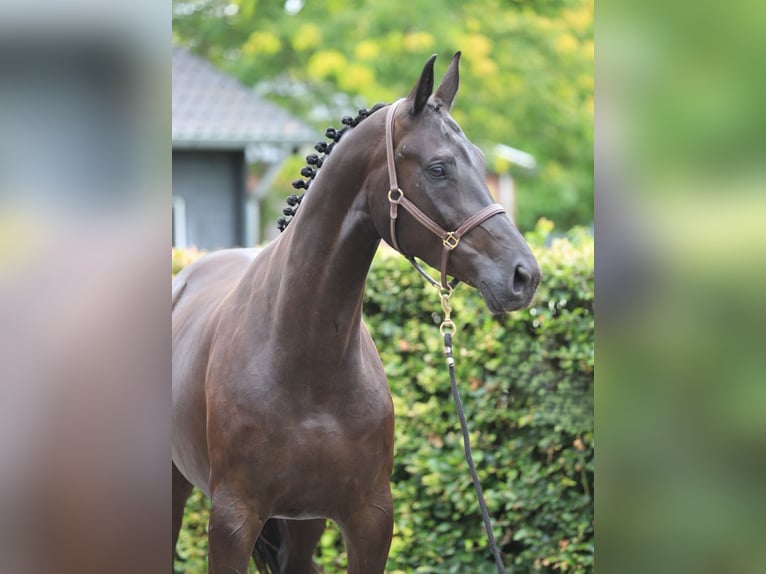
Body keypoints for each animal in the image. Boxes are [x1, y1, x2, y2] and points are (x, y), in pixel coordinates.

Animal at [172, 52, 540, 573]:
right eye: (438, 168)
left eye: (482, 163)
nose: (524, 275)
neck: (307, 363)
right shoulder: (231, 521)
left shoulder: (370, 518)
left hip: (302, 526)